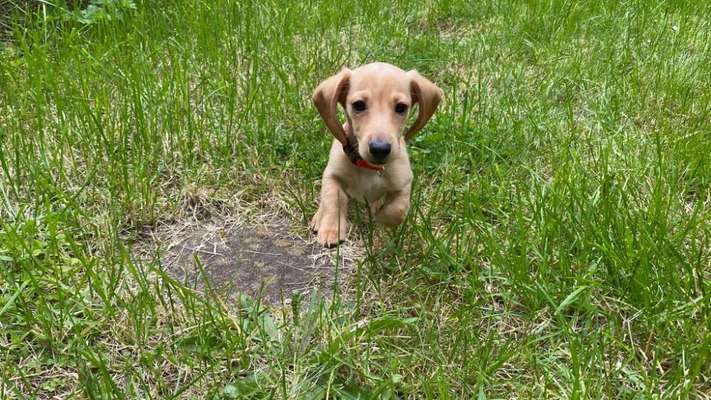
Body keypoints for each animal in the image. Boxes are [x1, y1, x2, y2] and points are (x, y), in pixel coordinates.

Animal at [310, 61, 442, 247]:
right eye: (358, 105)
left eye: (401, 107)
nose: (380, 148)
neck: (369, 168)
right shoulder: (331, 175)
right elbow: (333, 198)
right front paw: (331, 229)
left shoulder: (404, 183)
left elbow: (397, 209)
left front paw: (380, 218)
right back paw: (318, 218)